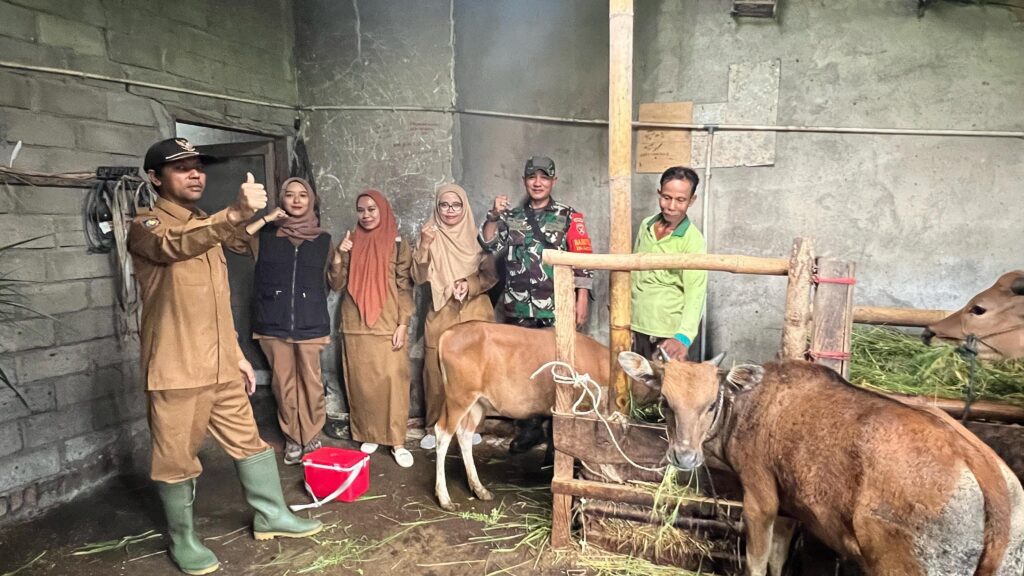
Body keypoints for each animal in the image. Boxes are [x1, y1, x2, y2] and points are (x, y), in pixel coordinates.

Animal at [614, 354, 1024, 573]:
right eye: (665, 401)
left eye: (711, 402)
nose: (683, 455)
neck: (750, 406)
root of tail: (986, 472)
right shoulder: (789, 507)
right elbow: (778, 560)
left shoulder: (761, 499)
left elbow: (757, 561)